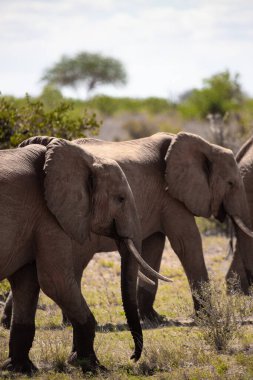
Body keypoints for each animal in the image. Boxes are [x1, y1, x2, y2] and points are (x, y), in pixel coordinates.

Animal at [0, 138, 168, 372]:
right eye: (121, 199)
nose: (132, 357)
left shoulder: (35, 221)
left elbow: (27, 282)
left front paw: (21, 369)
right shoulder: (48, 216)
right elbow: (55, 281)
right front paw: (92, 366)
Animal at [2, 131, 252, 326]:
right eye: (231, 183)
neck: (205, 145)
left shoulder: (159, 202)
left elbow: (154, 247)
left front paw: (153, 319)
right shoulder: (171, 197)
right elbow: (186, 242)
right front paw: (208, 318)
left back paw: (8, 322)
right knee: (73, 265)